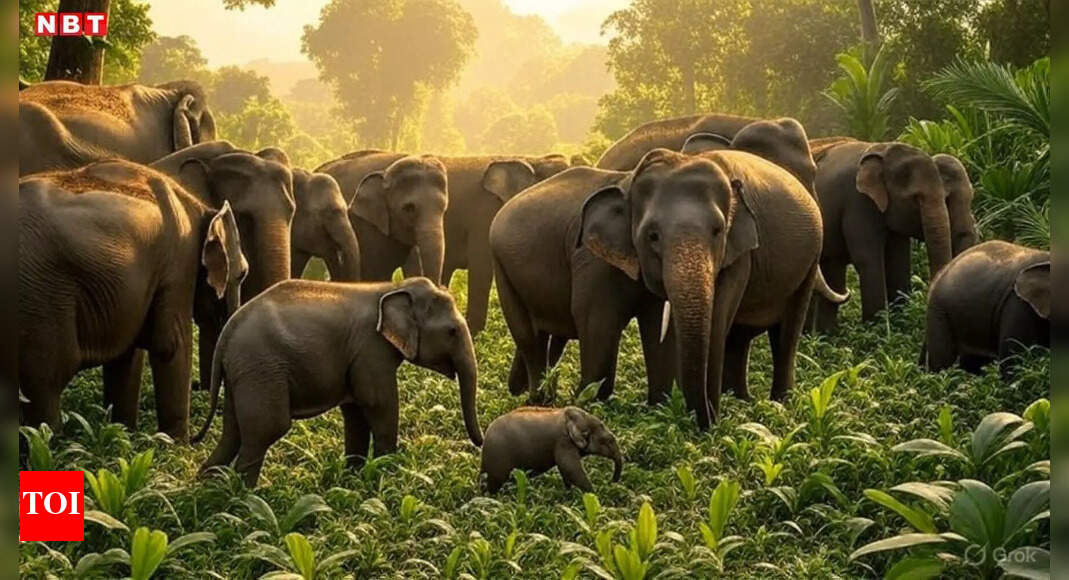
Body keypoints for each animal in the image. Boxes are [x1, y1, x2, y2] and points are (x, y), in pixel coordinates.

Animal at [19, 163, 246, 441]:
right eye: (242, 274)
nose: (198, 438)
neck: (202, 207)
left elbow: (127, 357)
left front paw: (123, 434)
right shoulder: (179, 264)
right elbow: (171, 346)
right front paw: (174, 444)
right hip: (41, 297)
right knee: (46, 381)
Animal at [193, 277, 483, 487]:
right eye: (452, 331)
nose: (479, 445)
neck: (392, 288)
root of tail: (228, 331)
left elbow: (355, 413)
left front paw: (352, 480)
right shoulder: (370, 349)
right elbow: (379, 403)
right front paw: (384, 475)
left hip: (243, 373)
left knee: (233, 432)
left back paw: (207, 491)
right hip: (261, 368)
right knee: (265, 431)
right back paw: (246, 499)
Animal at [480, 406, 622, 494]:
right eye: (608, 441)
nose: (612, 482)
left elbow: (565, 471)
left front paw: (569, 492)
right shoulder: (563, 442)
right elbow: (570, 468)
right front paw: (593, 495)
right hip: (498, 458)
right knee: (495, 483)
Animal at [493, 149, 847, 430]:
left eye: (718, 230)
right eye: (652, 235)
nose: (706, 423)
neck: (629, 181)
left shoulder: (738, 253)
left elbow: (665, 328)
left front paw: (660, 410)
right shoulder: (591, 259)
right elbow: (597, 323)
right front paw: (589, 406)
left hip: (809, 262)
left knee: (787, 330)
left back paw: (773, 403)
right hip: (501, 267)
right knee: (528, 335)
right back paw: (539, 400)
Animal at [809, 139, 978, 331]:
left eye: (945, 197)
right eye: (915, 199)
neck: (883, 149)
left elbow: (899, 260)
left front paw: (899, 321)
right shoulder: (858, 200)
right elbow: (868, 259)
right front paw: (877, 328)